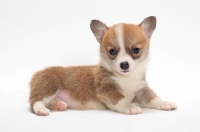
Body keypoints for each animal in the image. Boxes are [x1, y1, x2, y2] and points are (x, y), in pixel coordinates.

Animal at [28, 16, 177, 115]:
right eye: (112, 51)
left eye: (135, 50)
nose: (124, 65)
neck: (126, 78)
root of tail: (37, 75)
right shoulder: (108, 89)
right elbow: (121, 99)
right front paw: (130, 107)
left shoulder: (142, 90)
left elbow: (154, 98)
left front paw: (165, 103)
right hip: (49, 86)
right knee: (35, 101)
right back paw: (41, 109)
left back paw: (58, 105)